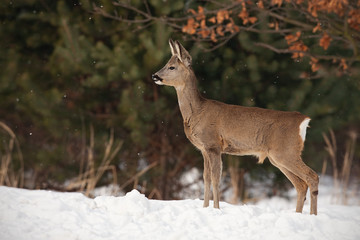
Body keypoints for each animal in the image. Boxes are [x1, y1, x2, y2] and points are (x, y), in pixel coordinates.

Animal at [152, 39, 318, 216]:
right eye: (166, 63)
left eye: (171, 67)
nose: (155, 76)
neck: (197, 111)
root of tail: (303, 120)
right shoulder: (203, 149)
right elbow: (206, 178)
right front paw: (205, 208)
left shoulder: (213, 145)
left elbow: (215, 179)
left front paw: (216, 209)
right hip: (277, 157)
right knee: (301, 184)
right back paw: (298, 214)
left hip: (286, 151)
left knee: (312, 176)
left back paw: (313, 215)